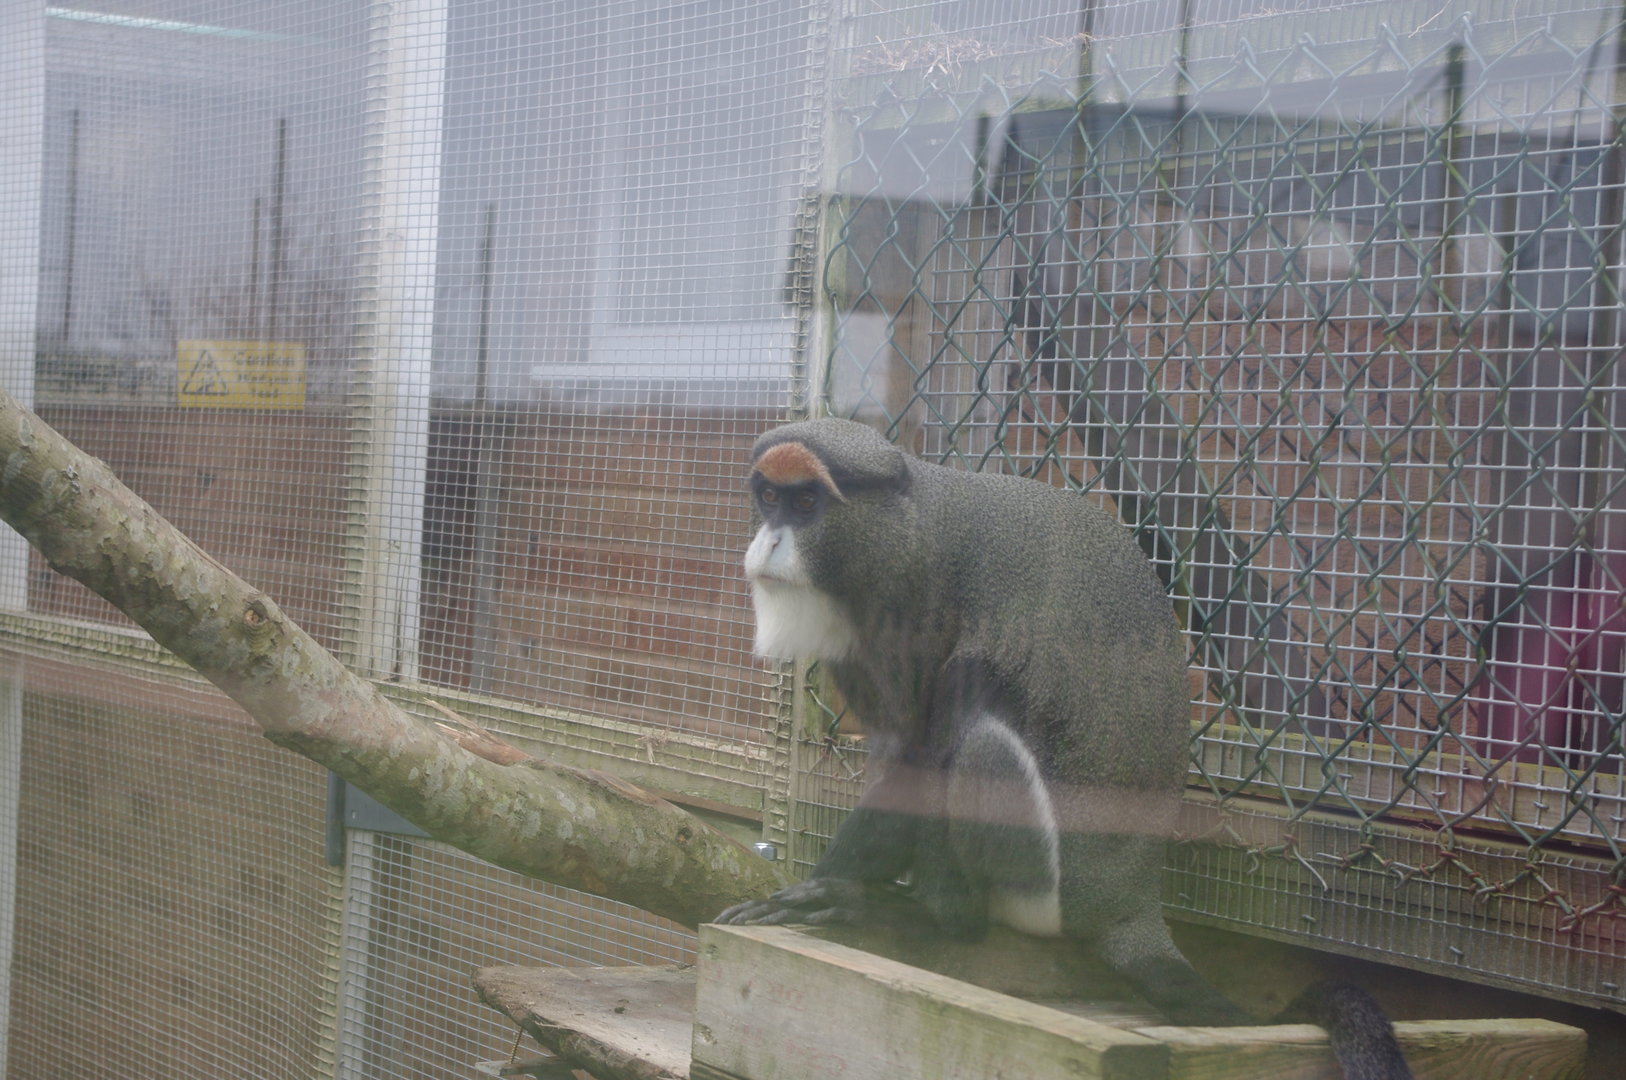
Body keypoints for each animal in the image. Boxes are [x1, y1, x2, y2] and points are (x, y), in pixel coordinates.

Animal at [717, 417, 1412, 1080]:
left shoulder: (918, 604)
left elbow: (919, 757)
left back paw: (931, 915)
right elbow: (897, 750)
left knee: (975, 723)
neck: (904, 526)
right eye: (770, 497)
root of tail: (1128, 904)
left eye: (807, 503)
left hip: (1040, 879)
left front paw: (832, 892)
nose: (768, 541)